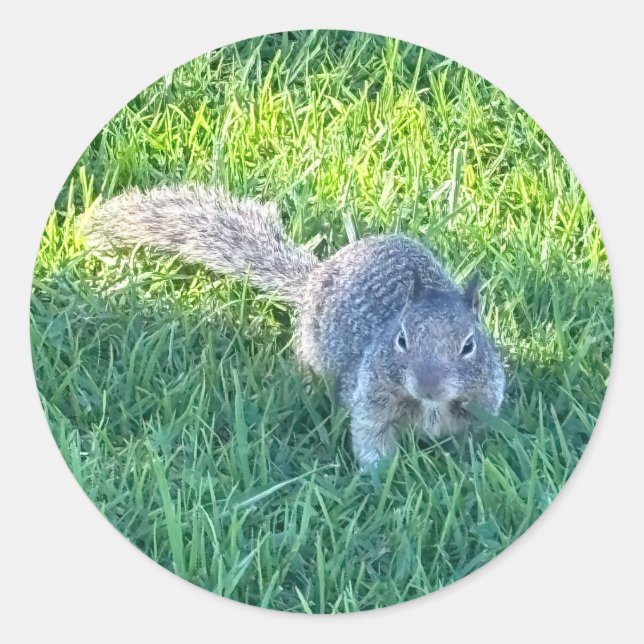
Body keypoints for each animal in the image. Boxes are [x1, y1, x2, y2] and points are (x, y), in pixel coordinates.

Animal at [84, 185, 505, 469]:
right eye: (401, 339)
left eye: (469, 345)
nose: (428, 384)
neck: (431, 407)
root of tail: (314, 276)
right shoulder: (371, 402)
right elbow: (371, 440)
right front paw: (380, 481)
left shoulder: (483, 405)